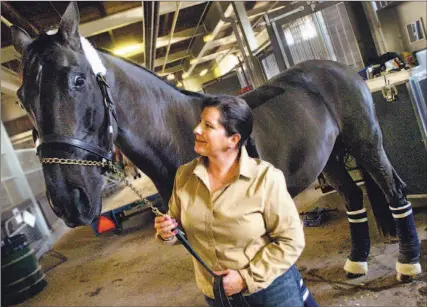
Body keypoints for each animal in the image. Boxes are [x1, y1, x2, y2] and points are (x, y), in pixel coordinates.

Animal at [10, 1, 422, 282]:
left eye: (78, 80)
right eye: (22, 97)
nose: (67, 200)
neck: (178, 131)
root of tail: (338, 69)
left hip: (367, 144)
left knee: (394, 191)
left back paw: (407, 263)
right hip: (331, 158)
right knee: (353, 199)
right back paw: (357, 261)